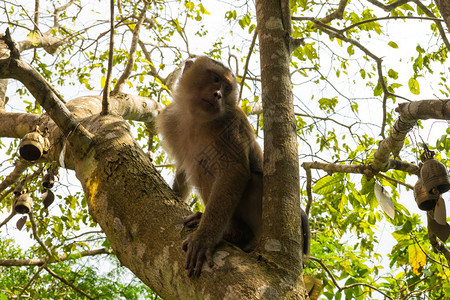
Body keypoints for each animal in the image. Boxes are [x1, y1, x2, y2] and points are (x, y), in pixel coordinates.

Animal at [156, 55, 310, 276]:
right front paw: (175, 192)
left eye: (227, 88)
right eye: (215, 78)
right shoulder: (171, 121)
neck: (196, 119)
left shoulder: (228, 124)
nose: (218, 94)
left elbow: (234, 171)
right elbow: (183, 167)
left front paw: (204, 239)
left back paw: (236, 235)